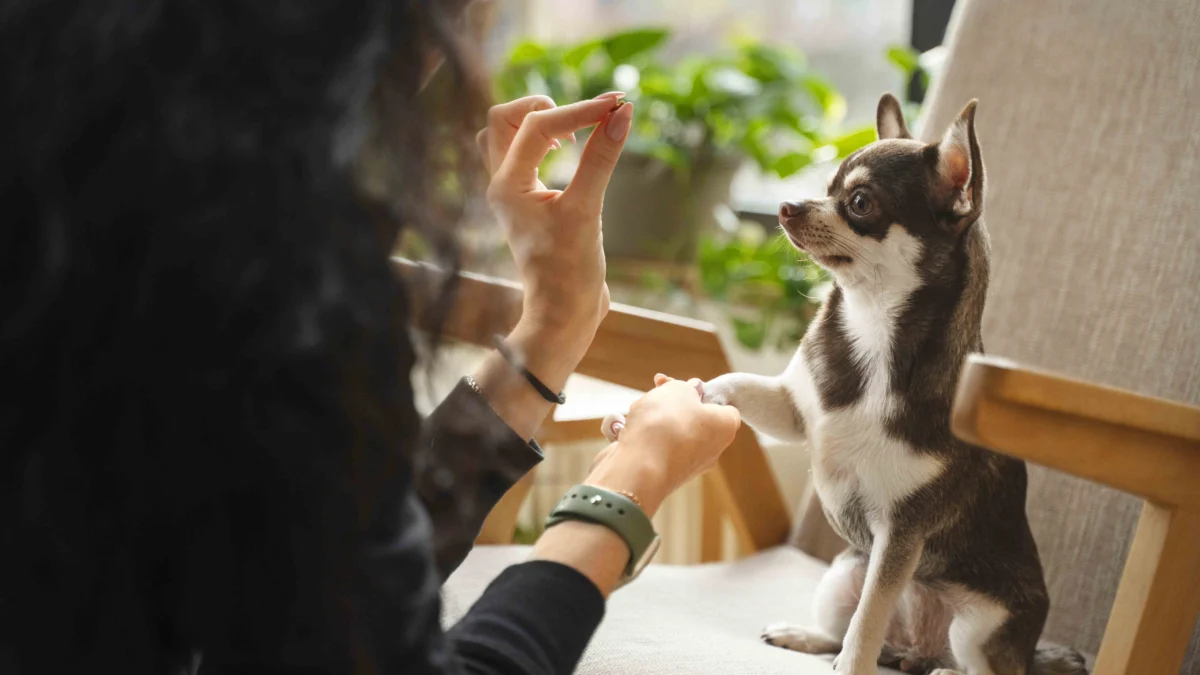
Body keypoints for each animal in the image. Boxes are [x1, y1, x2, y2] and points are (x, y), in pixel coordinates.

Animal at [700, 94, 1094, 672]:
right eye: (826, 188)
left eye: (860, 202)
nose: (787, 206)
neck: (873, 329)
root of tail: (918, 648)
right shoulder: (794, 411)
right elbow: (744, 384)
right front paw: (703, 392)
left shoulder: (901, 535)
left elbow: (869, 619)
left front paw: (851, 667)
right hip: (843, 573)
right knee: (855, 631)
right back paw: (807, 636)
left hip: (980, 626)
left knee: (969, 662)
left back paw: (937, 668)